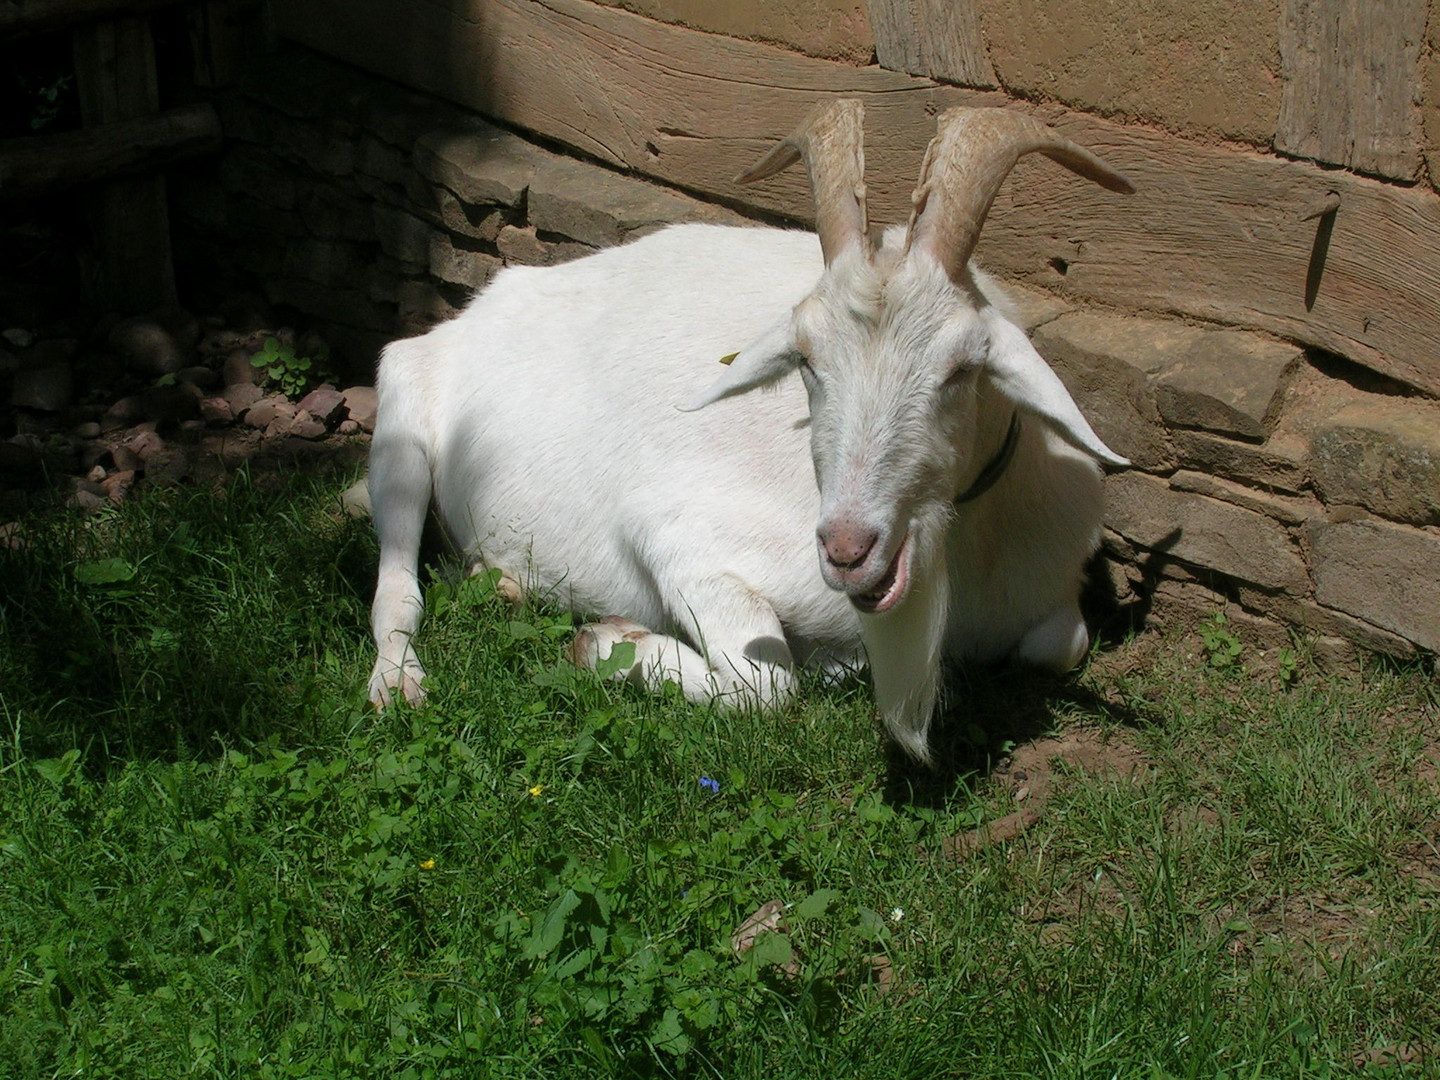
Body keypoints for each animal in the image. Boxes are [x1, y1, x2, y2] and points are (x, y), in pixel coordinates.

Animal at [371, 101, 1134, 760]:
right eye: (806, 360)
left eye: (961, 368)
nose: (848, 549)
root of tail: (481, 308)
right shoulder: (681, 538)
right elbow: (765, 686)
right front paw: (606, 644)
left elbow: (1064, 641)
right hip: (403, 422)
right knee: (397, 586)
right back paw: (398, 683)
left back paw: (499, 581)